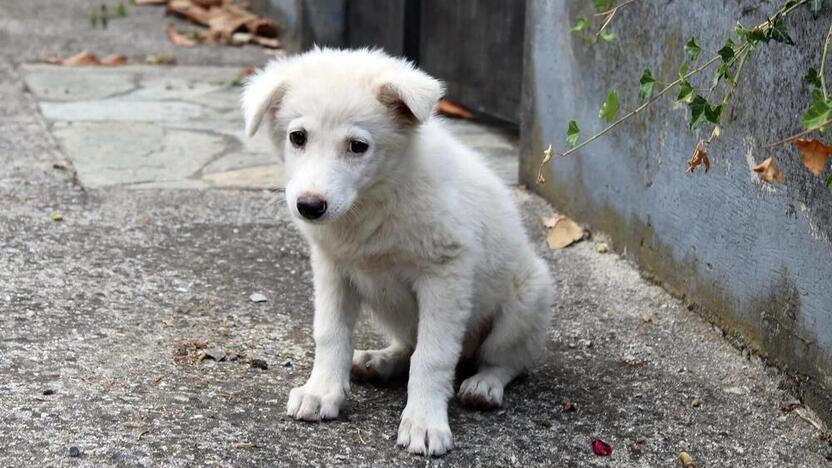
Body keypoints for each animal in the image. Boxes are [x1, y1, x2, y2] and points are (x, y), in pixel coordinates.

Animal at [240, 48, 552, 458]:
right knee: (408, 344)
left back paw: (484, 384)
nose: (309, 206)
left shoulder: (445, 274)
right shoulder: (332, 269)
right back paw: (380, 361)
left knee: (508, 360)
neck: (374, 198)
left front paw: (423, 421)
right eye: (297, 137)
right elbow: (330, 334)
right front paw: (321, 391)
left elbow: (432, 356)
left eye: (358, 146)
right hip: (391, 310)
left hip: (528, 300)